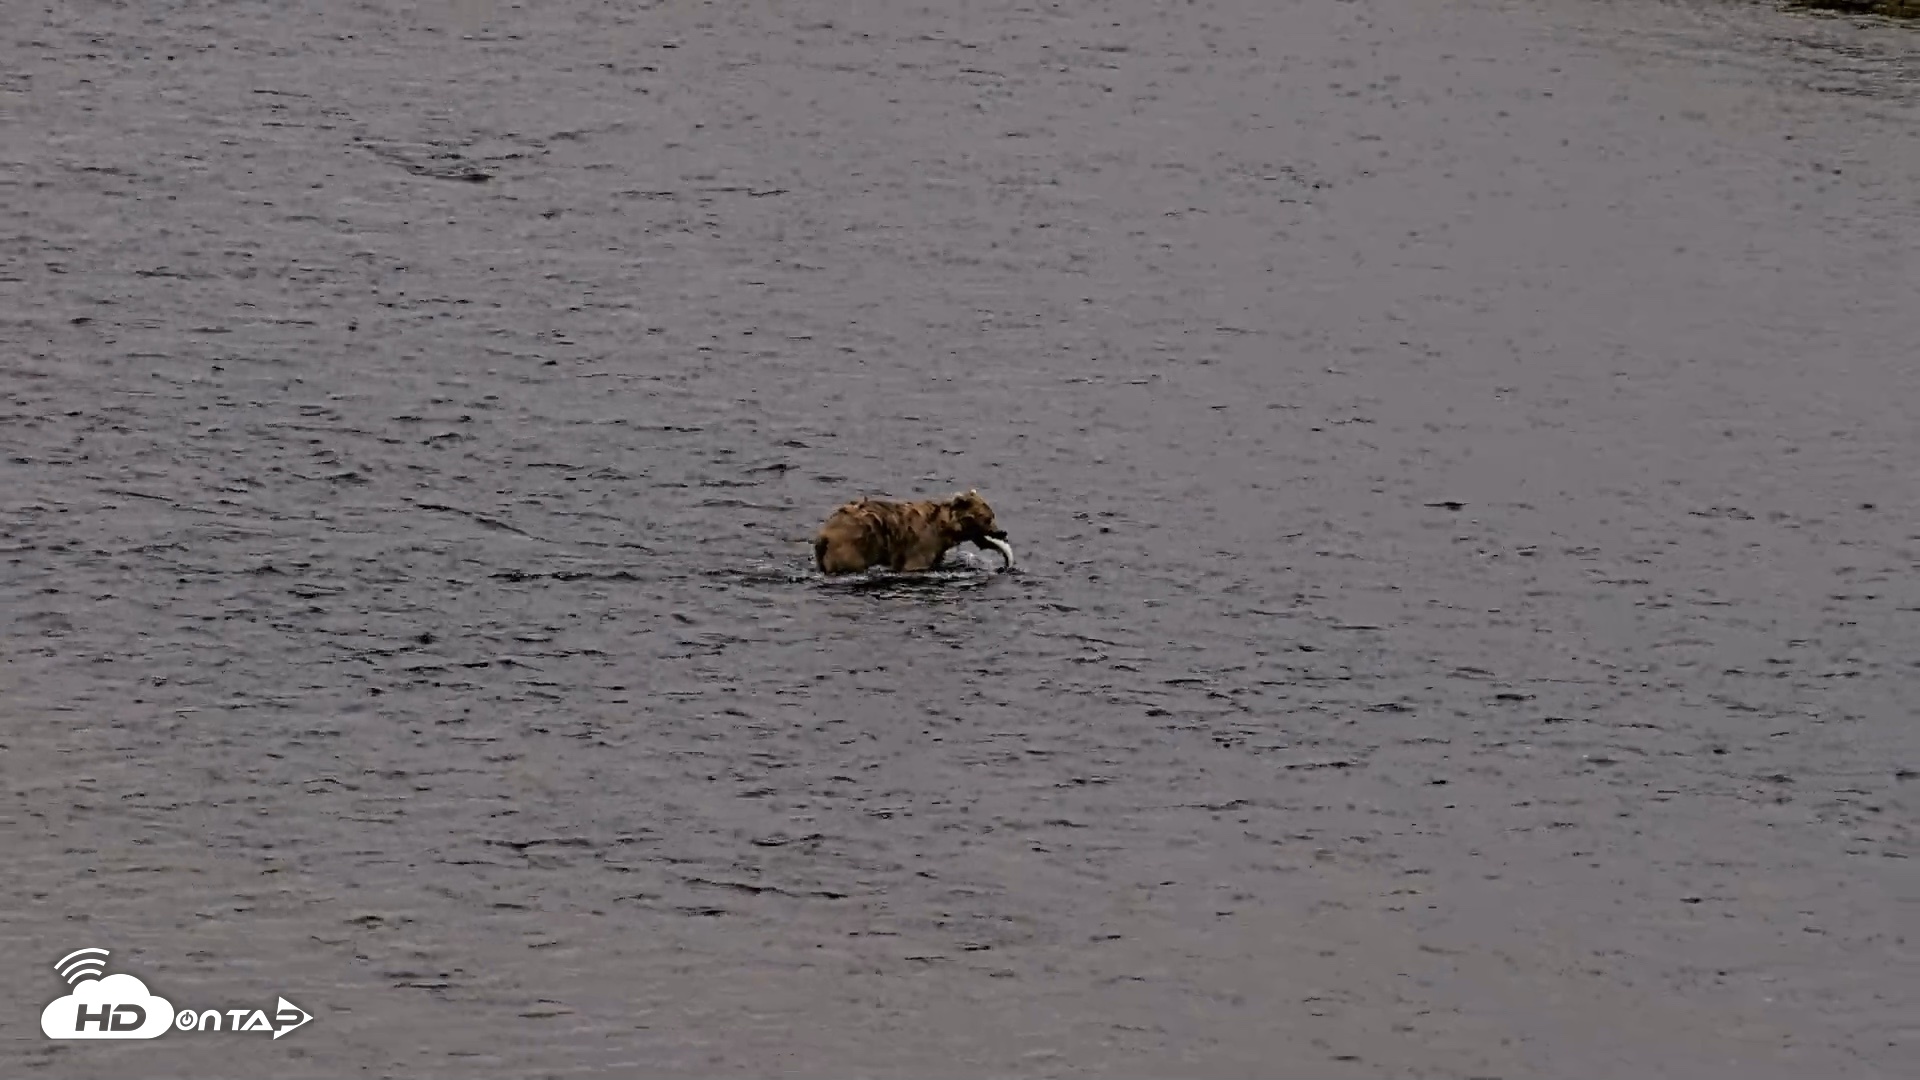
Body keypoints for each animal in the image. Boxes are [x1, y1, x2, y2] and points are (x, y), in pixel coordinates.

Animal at [814, 489, 1013, 575]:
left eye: (992, 515)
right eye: (987, 518)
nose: (1002, 532)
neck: (945, 530)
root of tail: (824, 533)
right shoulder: (921, 545)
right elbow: (916, 564)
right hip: (852, 546)